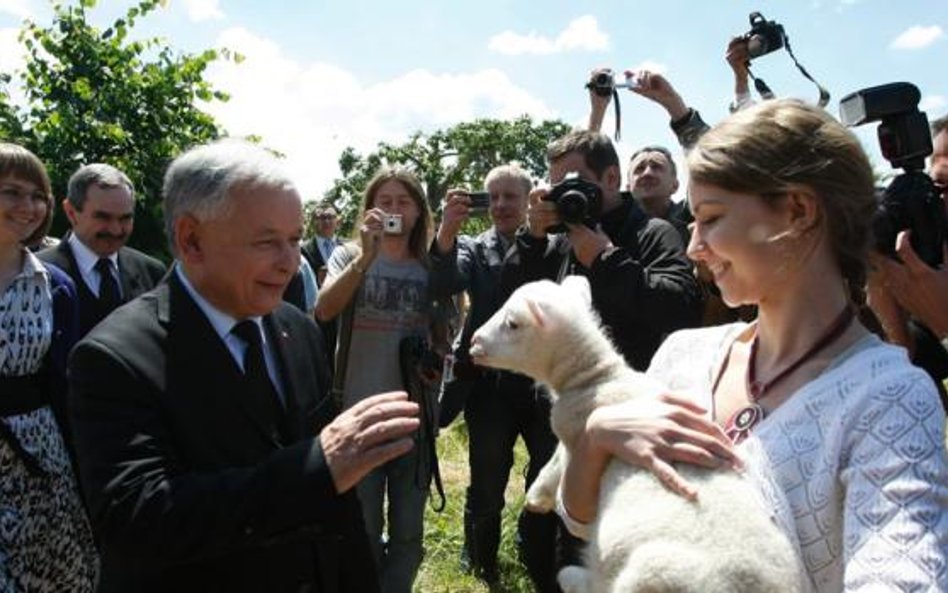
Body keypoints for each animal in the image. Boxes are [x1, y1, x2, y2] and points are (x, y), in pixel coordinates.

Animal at [466, 276, 808, 592]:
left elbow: (556, 462)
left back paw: (573, 576)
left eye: (512, 324)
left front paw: (537, 497)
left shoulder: (574, 433)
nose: (473, 341)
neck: (595, 377)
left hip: (654, 574)